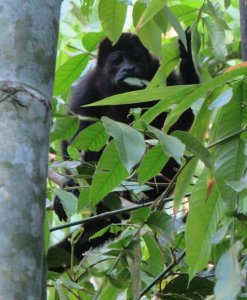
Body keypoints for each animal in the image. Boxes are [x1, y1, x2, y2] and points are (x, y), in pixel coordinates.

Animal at [49, 30, 200, 270]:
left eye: (136, 57)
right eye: (117, 60)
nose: (128, 69)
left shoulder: (161, 76)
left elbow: (181, 120)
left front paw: (188, 53)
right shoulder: (87, 88)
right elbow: (74, 138)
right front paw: (73, 184)